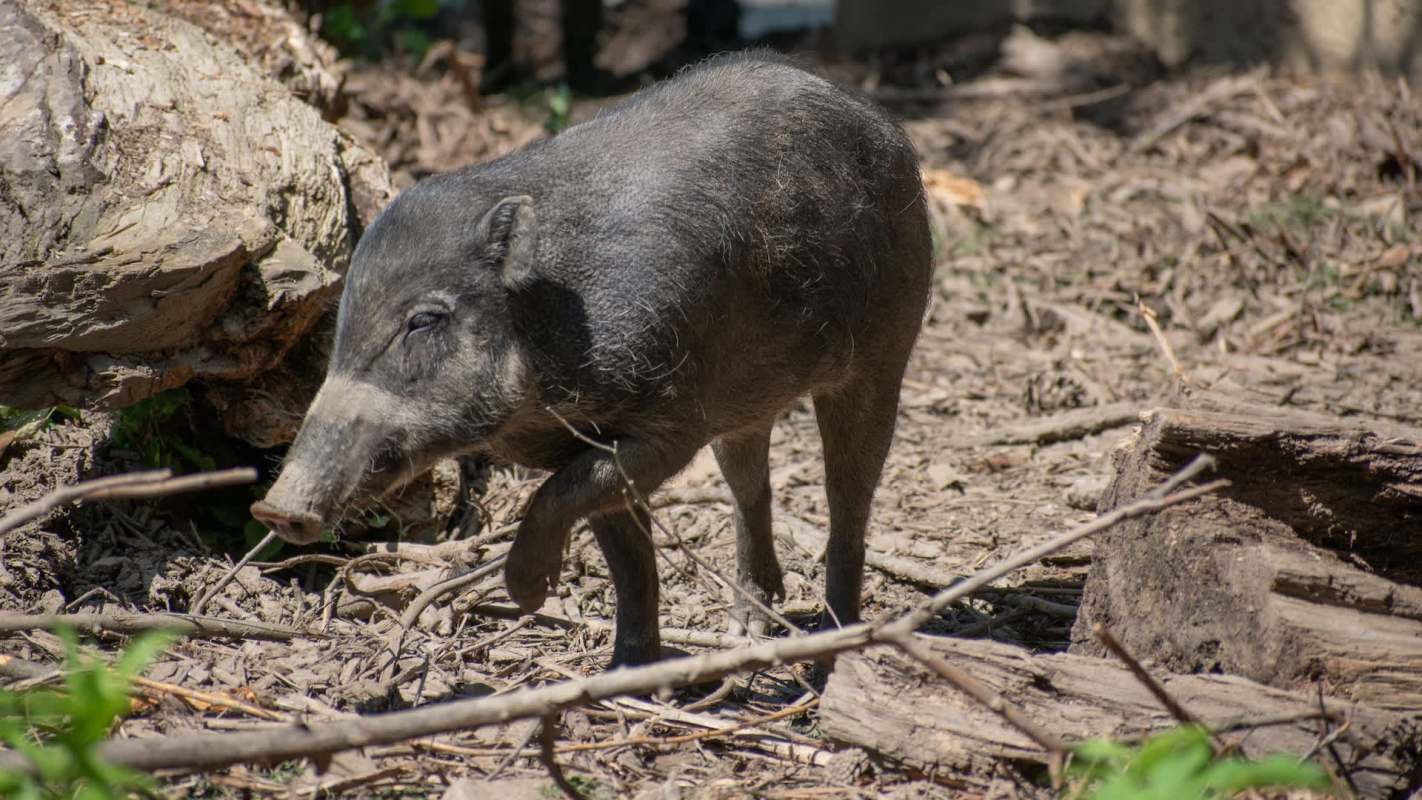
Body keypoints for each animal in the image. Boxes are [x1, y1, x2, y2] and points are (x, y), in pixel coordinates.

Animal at [251, 53, 933, 668]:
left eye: (423, 320)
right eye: (344, 321)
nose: (275, 507)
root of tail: (883, 123)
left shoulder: (669, 420)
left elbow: (564, 495)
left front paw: (527, 594)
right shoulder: (589, 438)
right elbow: (623, 550)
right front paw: (629, 675)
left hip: (885, 349)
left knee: (848, 496)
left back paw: (832, 647)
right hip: (748, 400)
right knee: (749, 487)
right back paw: (746, 629)